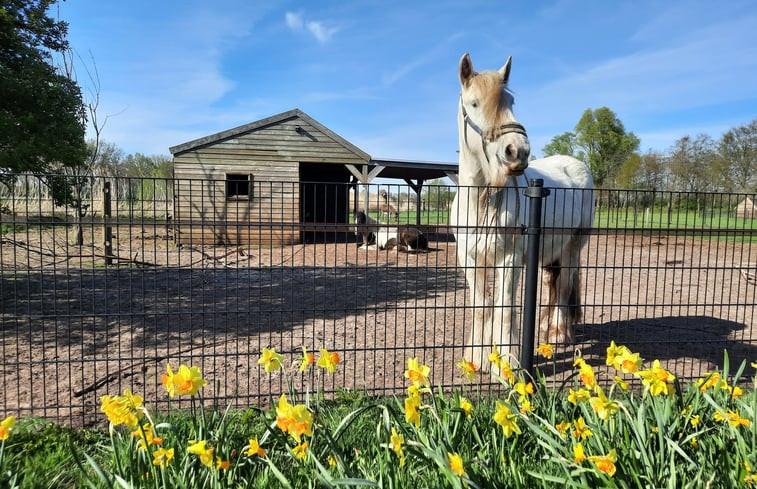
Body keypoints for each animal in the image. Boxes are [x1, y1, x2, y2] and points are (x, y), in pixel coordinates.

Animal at [446, 52, 592, 370]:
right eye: (474, 103)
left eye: (510, 102)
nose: (518, 151)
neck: (482, 202)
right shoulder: (469, 259)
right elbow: (481, 306)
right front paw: (476, 358)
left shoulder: (510, 259)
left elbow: (504, 307)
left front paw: (507, 360)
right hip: (550, 251)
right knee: (553, 282)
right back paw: (546, 327)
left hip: (574, 246)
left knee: (565, 285)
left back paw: (558, 333)